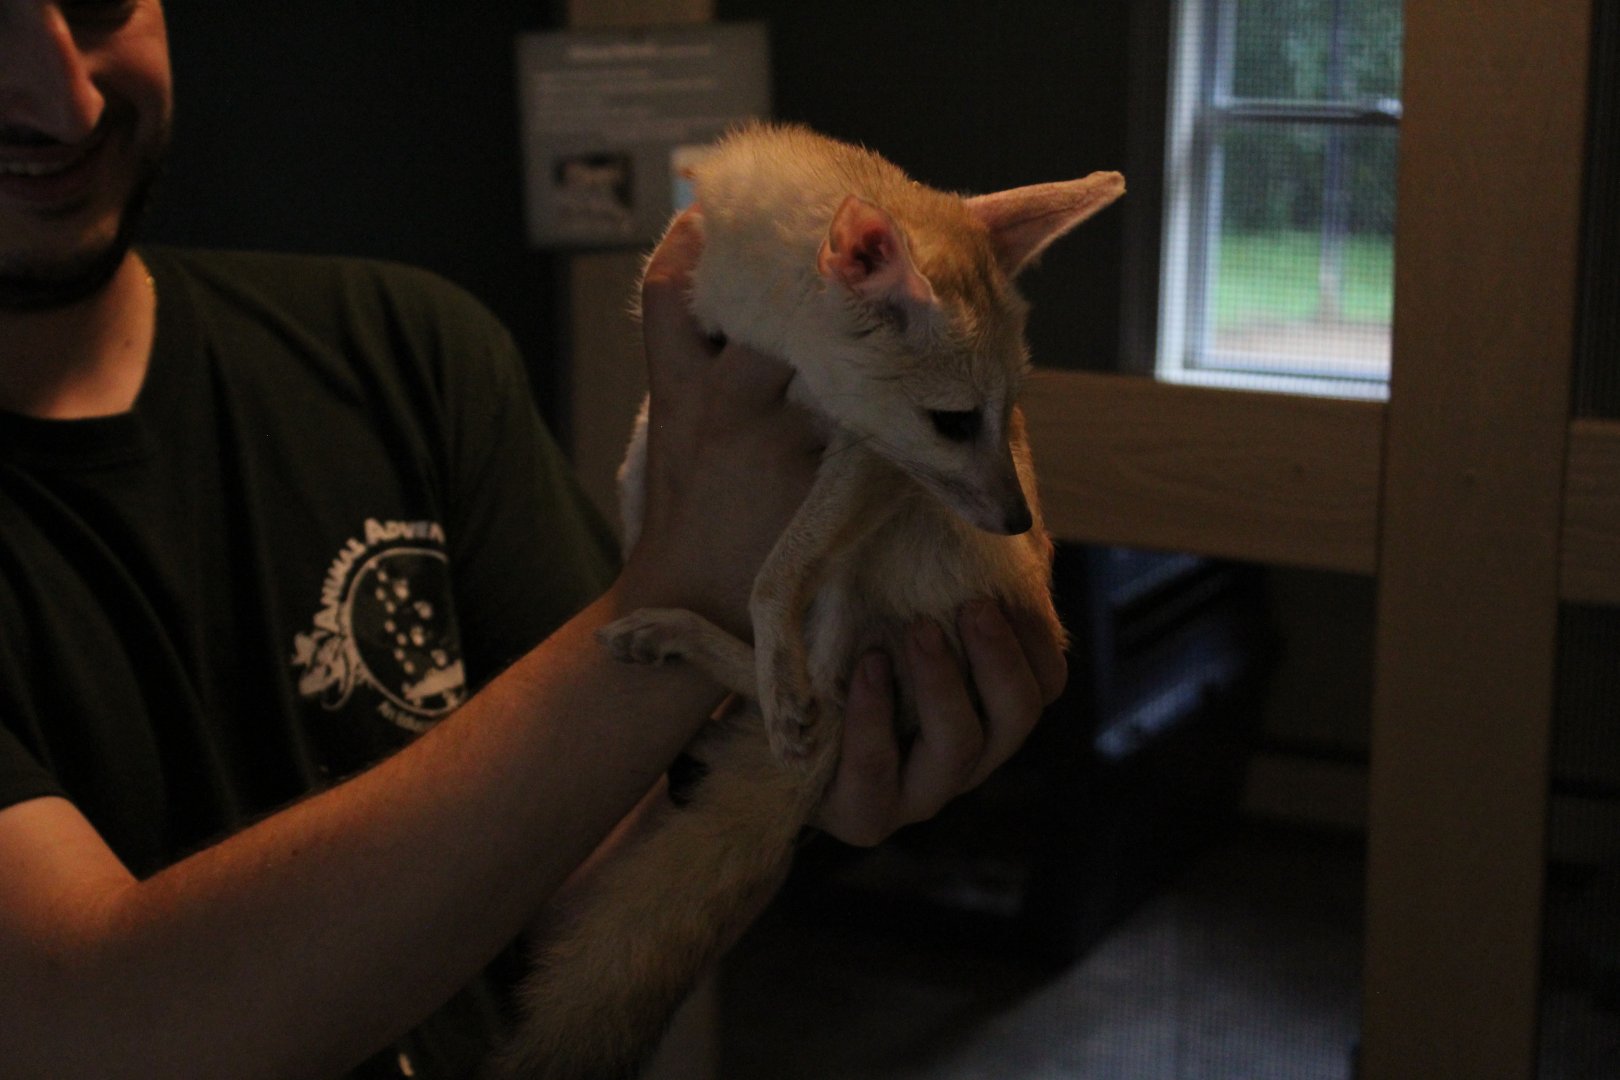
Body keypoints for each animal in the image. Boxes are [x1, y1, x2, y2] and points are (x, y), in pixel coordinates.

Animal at [499, 123, 1123, 1080]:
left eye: (1014, 407)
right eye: (955, 421)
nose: (1020, 518)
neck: (778, 333)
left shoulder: (869, 455)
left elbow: (772, 578)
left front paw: (766, 661)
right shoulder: (695, 379)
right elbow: (723, 557)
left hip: (879, 560)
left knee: (828, 695)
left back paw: (736, 668)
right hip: (672, 467)